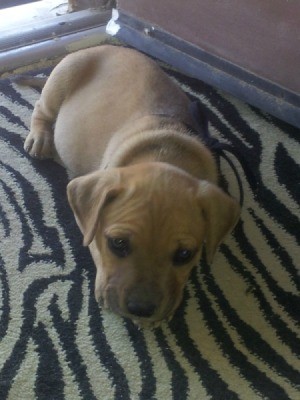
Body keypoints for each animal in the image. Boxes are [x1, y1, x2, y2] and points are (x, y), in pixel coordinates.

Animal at [23, 45, 240, 326]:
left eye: (184, 254)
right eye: (118, 244)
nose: (141, 309)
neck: (164, 155)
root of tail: (106, 46)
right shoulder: (91, 227)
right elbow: (98, 254)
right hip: (62, 77)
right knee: (42, 109)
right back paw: (40, 138)